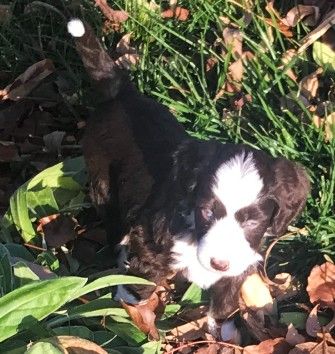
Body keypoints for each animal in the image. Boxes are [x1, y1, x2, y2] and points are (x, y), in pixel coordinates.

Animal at [68, 19, 312, 338]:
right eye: (207, 211)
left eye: (252, 223)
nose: (218, 263)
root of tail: (121, 95)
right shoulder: (150, 242)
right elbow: (139, 286)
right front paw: (130, 317)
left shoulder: (238, 263)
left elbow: (224, 305)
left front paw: (226, 337)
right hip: (103, 184)